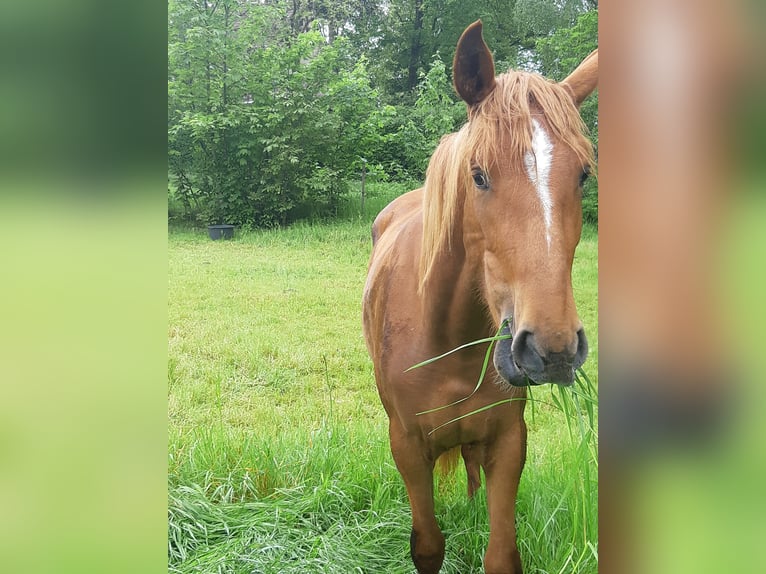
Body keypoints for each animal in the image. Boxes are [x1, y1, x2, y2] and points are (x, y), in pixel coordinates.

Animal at [364, 21, 600, 574]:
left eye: (582, 174)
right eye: (478, 175)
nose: (553, 349)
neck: (448, 340)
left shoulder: (509, 443)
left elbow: (501, 554)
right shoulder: (407, 447)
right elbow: (428, 545)